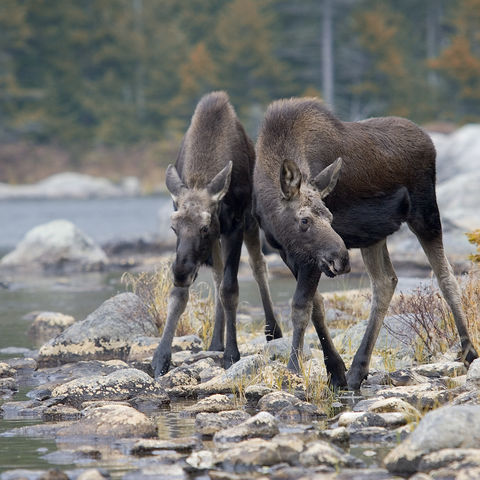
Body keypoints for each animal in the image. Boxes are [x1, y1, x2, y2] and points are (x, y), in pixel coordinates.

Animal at [153, 89, 282, 376]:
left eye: (204, 226)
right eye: (173, 227)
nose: (180, 272)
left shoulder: (233, 225)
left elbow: (231, 289)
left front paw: (232, 353)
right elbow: (180, 295)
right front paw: (161, 357)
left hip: (250, 223)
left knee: (258, 266)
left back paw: (273, 330)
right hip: (217, 242)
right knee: (218, 275)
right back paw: (215, 342)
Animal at [253, 97, 478, 390]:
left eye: (331, 216)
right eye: (304, 220)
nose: (341, 258)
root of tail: (429, 141)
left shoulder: (310, 259)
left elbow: (301, 307)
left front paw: (294, 370)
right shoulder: (289, 254)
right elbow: (318, 306)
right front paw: (335, 370)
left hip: (425, 212)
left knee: (446, 276)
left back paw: (468, 351)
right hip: (374, 234)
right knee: (385, 282)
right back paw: (358, 369)